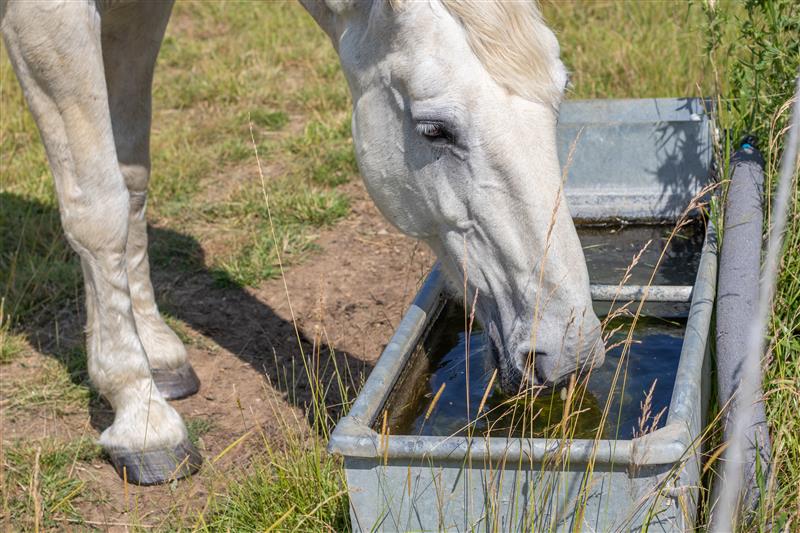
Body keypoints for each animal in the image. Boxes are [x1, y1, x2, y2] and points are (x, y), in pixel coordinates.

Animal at [1, 0, 605, 485]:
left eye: (562, 92)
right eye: (434, 130)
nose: (570, 352)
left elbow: (130, 178)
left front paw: (159, 355)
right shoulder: (48, 18)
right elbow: (98, 207)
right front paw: (141, 414)